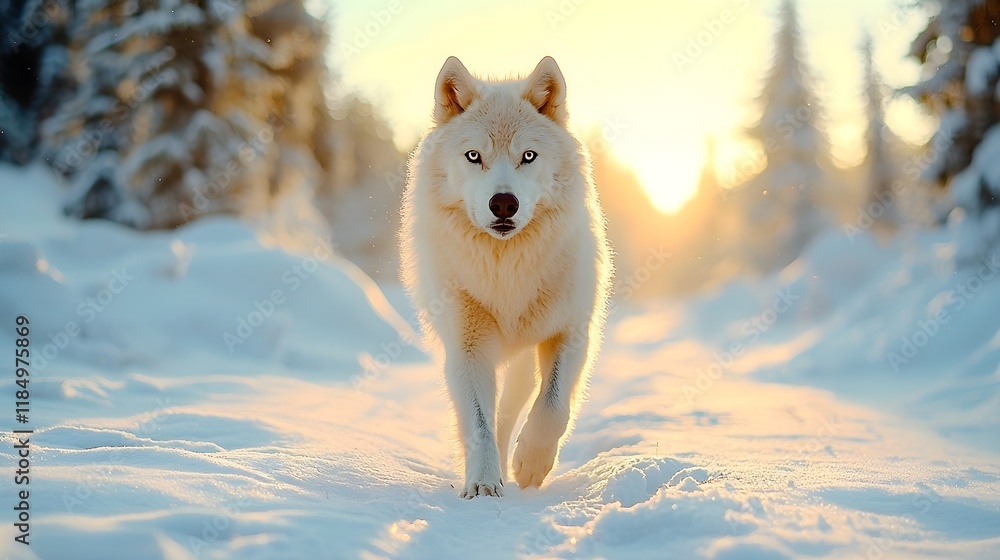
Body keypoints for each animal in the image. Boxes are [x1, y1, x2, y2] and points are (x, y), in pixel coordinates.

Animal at [400, 56, 612, 498]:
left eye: (528, 156)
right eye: (473, 155)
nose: (503, 203)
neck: (506, 271)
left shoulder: (571, 333)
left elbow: (552, 406)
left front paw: (530, 463)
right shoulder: (466, 348)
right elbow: (479, 424)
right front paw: (482, 483)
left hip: (524, 362)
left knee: (519, 404)